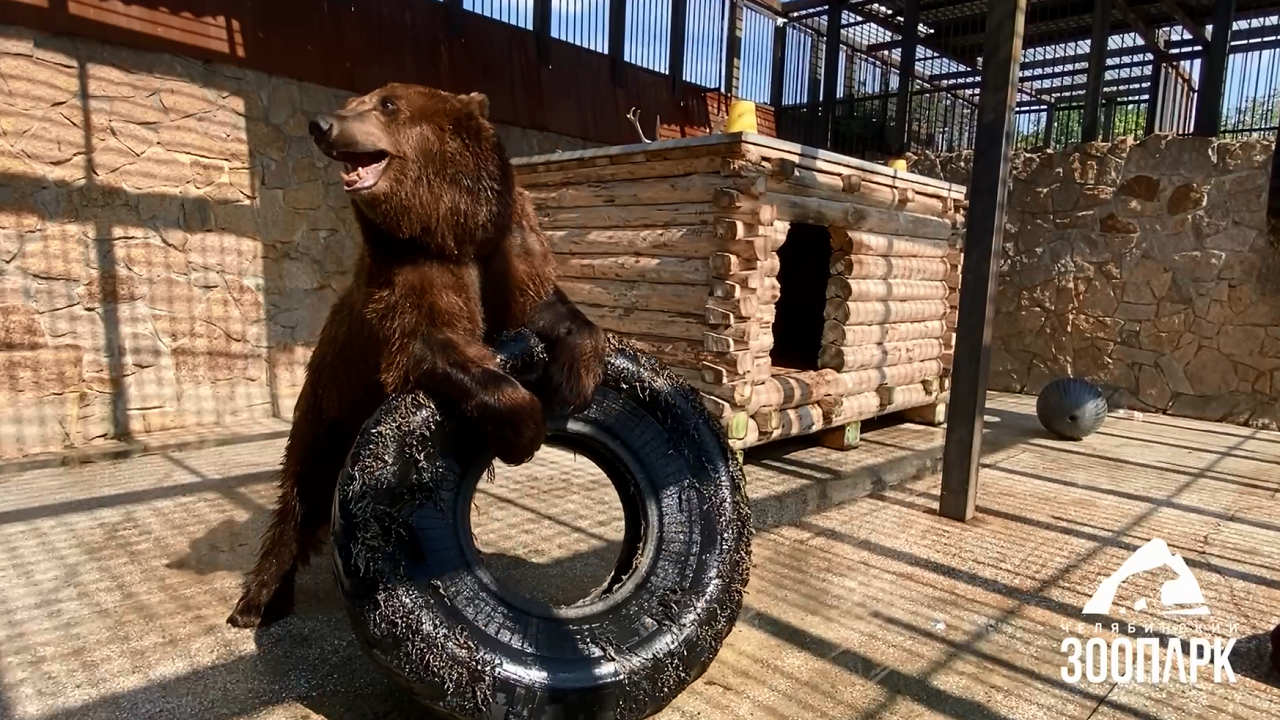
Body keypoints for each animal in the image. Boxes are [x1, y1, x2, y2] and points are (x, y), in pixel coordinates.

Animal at [229, 81, 604, 625]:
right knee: (303, 491)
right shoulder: (408, 266)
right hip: (330, 405)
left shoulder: (507, 241)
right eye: (354, 102)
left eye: (386, 104)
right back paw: (259, 599)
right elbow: (428, 346)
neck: (449, 225)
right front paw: (523, 428)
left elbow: (544, 304)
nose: (322, 124)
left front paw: (576, 374)